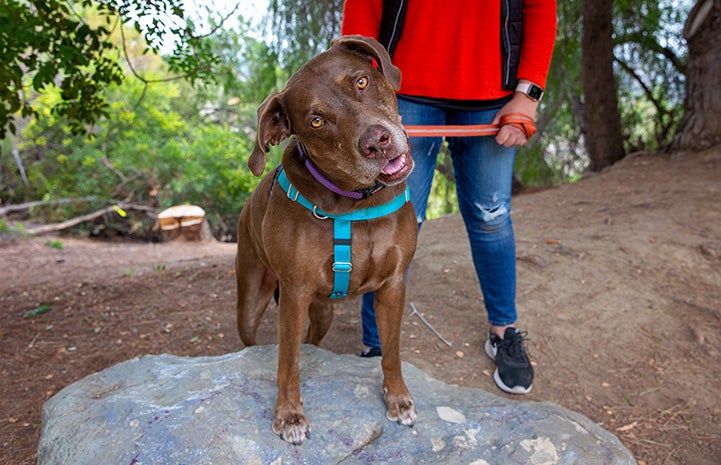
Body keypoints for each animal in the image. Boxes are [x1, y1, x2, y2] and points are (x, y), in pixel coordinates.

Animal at [236, 36, 416, 442]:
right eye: (316, 120)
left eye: (362, 81)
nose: (377, 142)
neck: (355, 200)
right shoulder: (294, 293)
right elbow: (288, 362)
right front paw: (289, 415)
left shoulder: (394, 286)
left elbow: (392, 350)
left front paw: (398, 399)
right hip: (251, 302)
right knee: (255, 338)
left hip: (323, 310)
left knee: (312, 341)